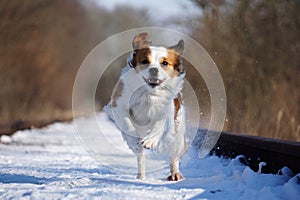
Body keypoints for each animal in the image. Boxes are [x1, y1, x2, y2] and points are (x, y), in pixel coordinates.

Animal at [106, 32, 188, 181]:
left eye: (164, 63)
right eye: (145, 61)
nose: (154, 69)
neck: (148, 93)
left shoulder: (168, 109)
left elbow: (161, 123)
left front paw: (150, 140)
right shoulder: (119, 104)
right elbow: (127, 123)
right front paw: (136, 140)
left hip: (177, 134)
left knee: (174, 154)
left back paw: (175, 174)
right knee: (140, 157)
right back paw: (141, 175)